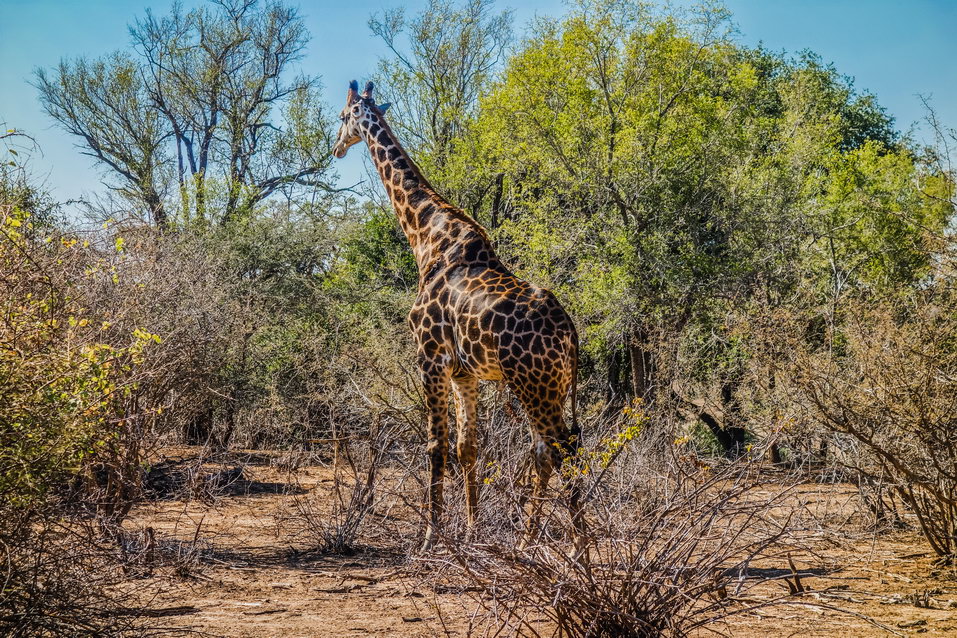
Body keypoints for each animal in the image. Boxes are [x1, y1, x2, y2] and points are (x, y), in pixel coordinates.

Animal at [328, 80, 584, 552]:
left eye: (342, 117)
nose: (336, 147)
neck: (426, 235)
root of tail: (570, 332)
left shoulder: (429, 355)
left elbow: (435, 445)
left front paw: (431, 536)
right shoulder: (465, 371)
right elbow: (468, 446)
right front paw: (471, 530)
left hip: (533, 384)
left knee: (563, 449)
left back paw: (579, 549)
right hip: (552, 385)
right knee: (547, 451)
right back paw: (527, 543)